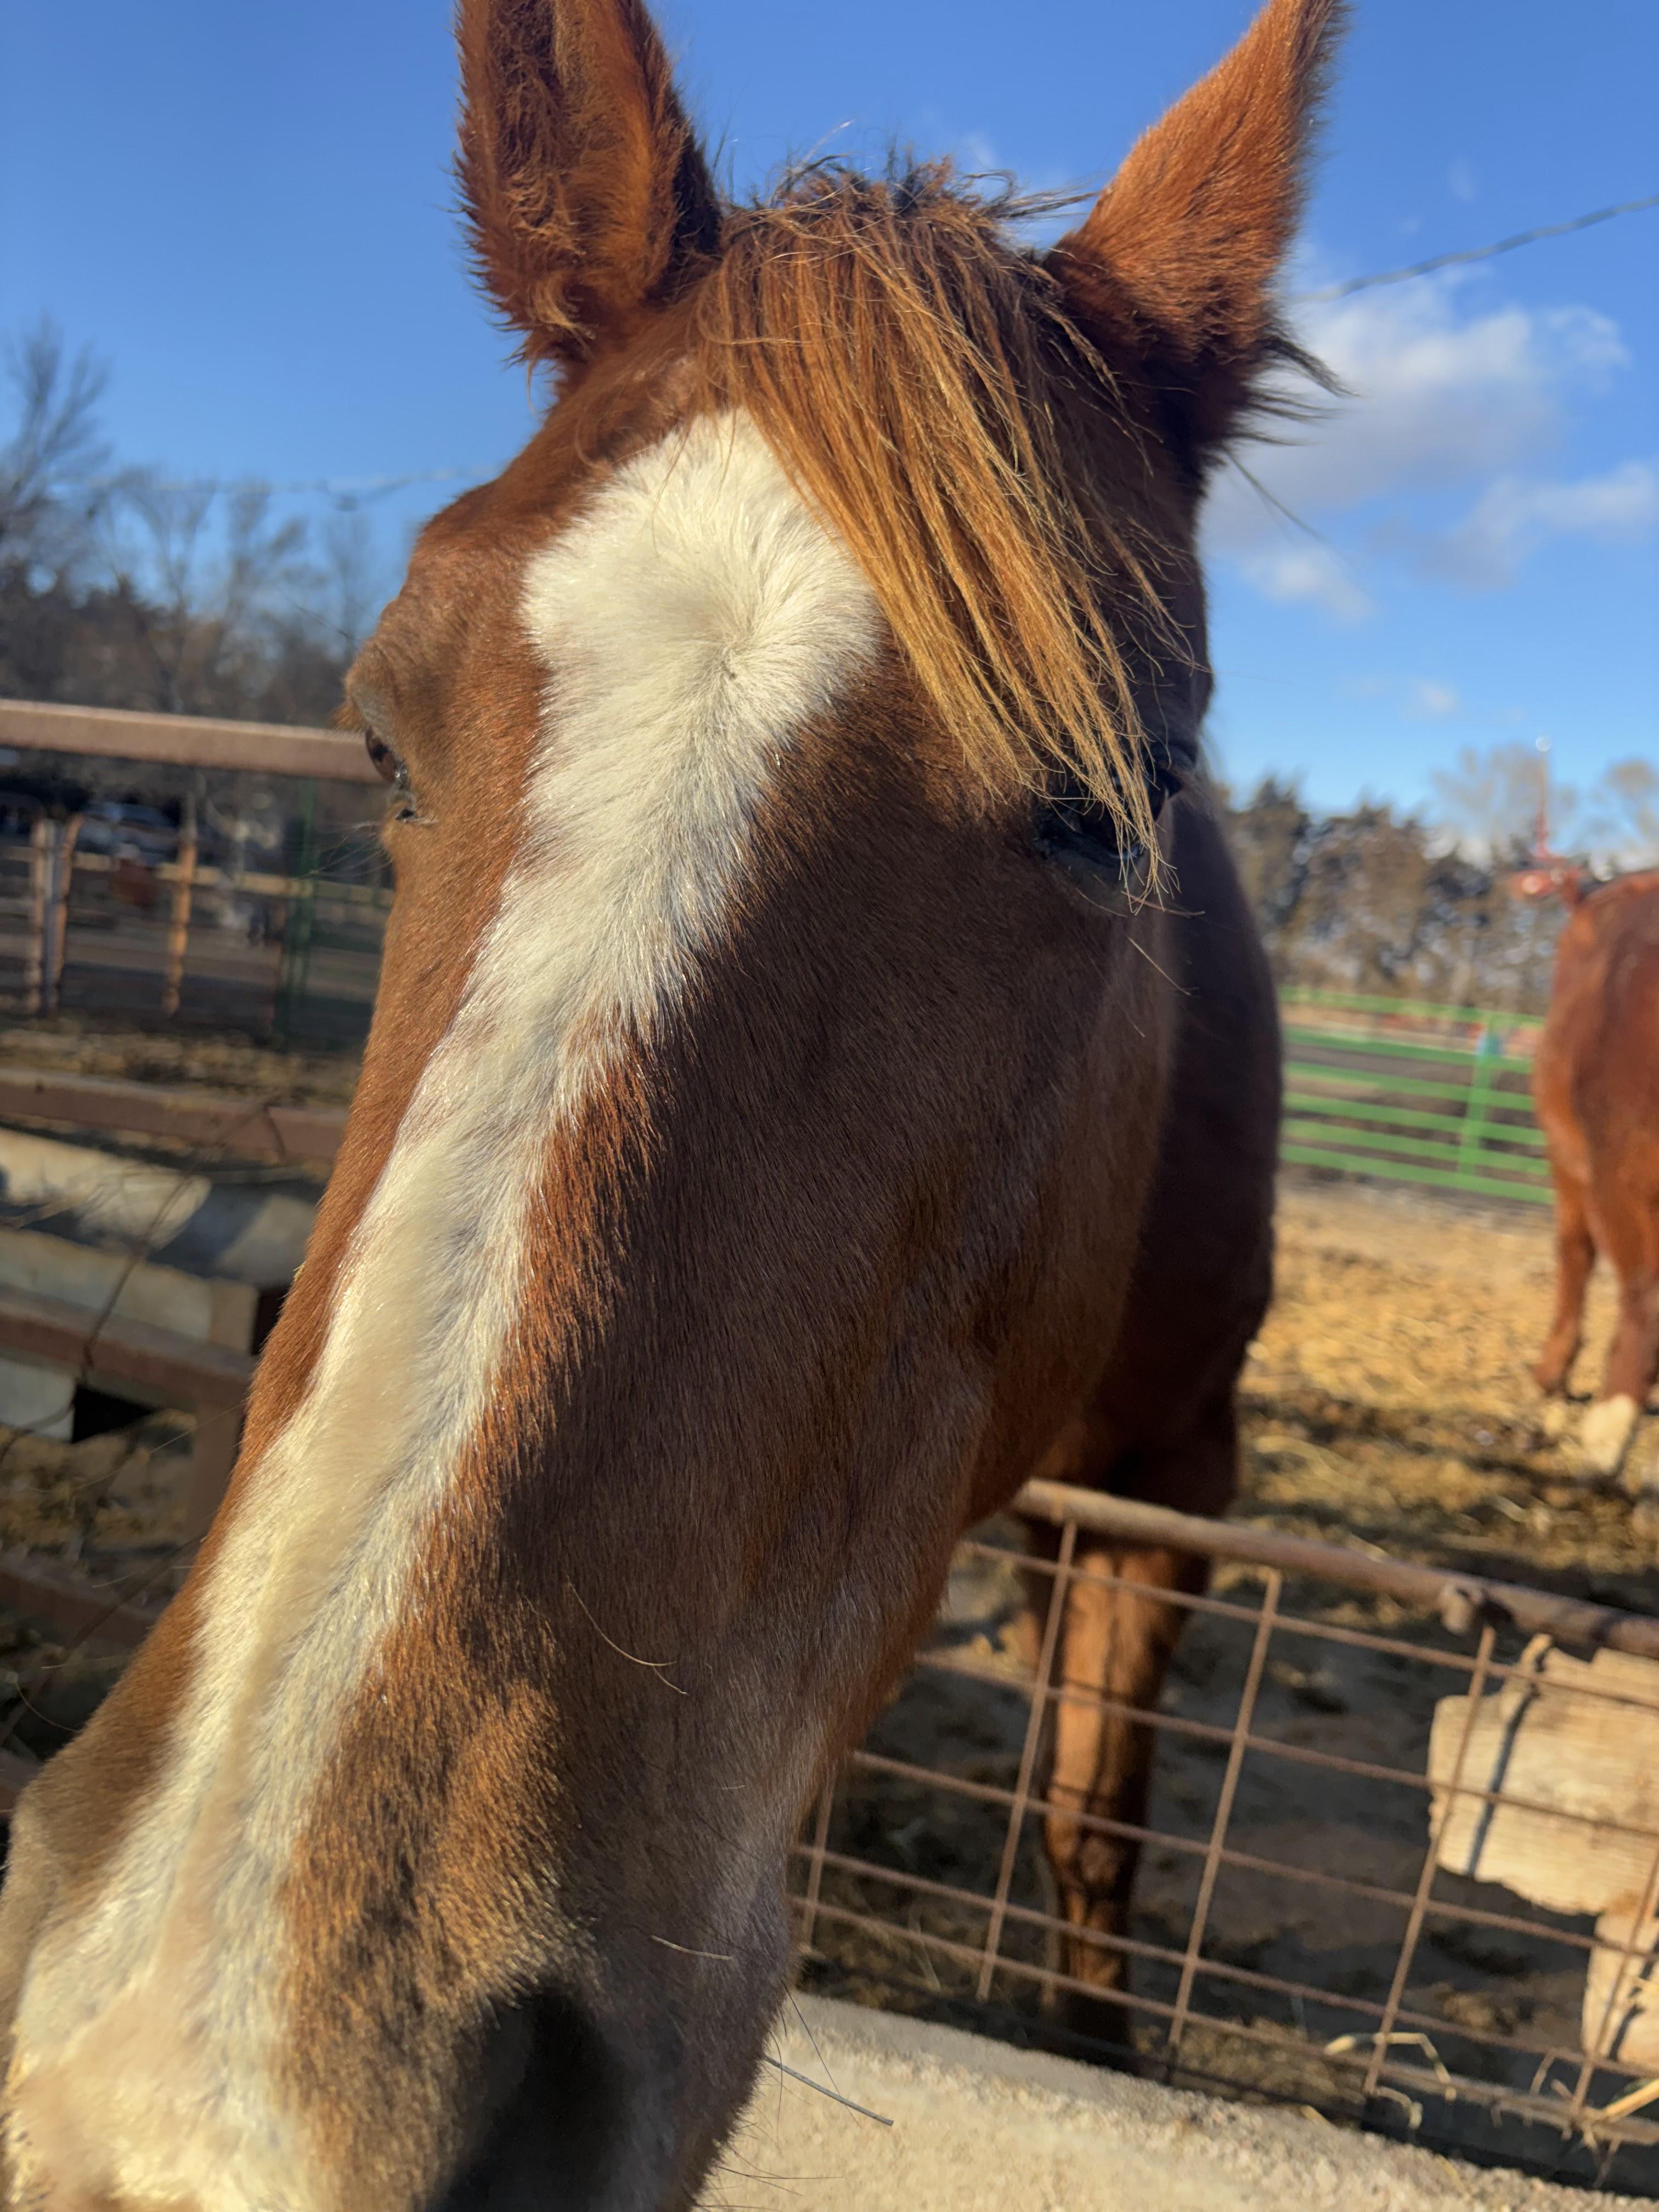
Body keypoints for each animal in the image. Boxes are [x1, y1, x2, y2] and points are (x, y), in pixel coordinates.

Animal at [0, 0, 1338, 2202]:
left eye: (1109, 802)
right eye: (383, 728)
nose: (189, 2085)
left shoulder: (1178, 1484)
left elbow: (1094, 1819)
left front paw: (1094, 2028)